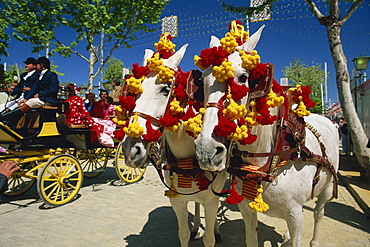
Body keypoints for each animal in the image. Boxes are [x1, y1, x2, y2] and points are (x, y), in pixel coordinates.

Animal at [120, 35, 227, 247]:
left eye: (165, 89)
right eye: (135, 91)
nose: (130, 150)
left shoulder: (211, 201)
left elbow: (209, 238)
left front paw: (213, 232)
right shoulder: (177, 200)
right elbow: (183, 234)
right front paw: (190, 231)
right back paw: (195, 227)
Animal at [194, 21, 338, 247]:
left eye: (243, 77)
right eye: (202, 80)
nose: (206, 151)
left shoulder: (296, 215)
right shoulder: (246, 208)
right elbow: (252, 239)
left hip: (327, 188)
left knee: (319, 213)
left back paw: (314, 240)